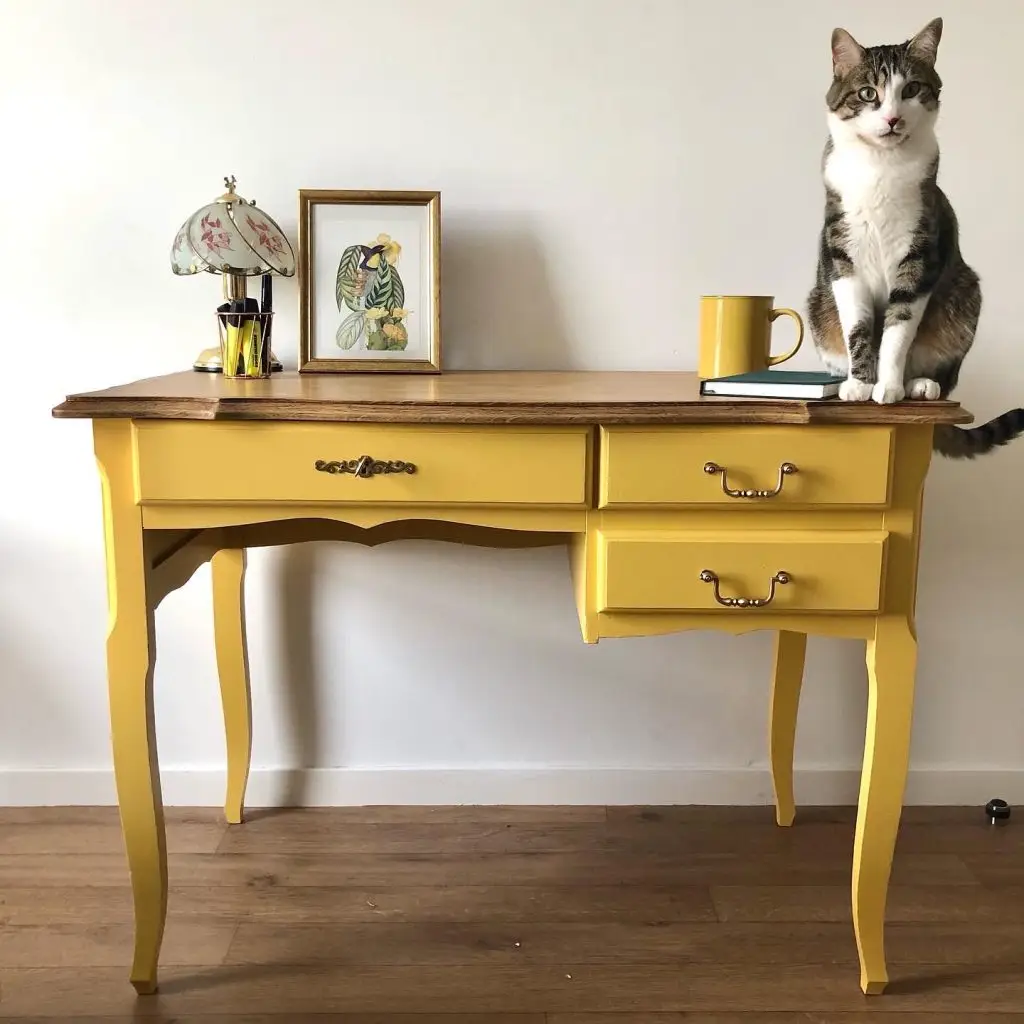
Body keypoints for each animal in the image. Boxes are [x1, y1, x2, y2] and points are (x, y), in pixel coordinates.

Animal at [806, 14, 1024, 456]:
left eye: (911, 89)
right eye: (868, 93)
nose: (892, 119)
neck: (880, 165)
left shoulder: (919, 253)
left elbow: (898, 328)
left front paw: (886, 387)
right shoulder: (842, 254)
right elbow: (858, 326)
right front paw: (860, 384)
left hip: (965, 294)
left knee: (936, 367)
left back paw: (919, 385)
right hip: (817, 305)